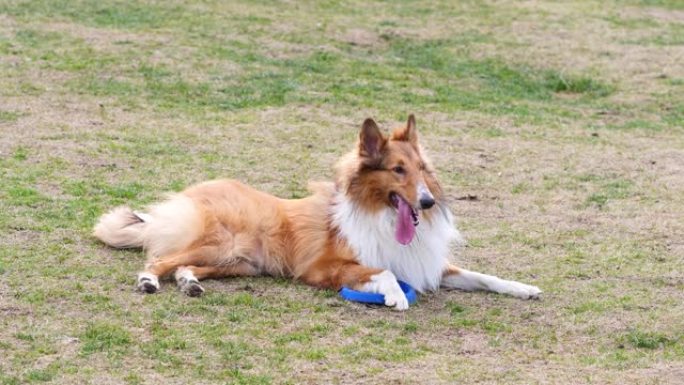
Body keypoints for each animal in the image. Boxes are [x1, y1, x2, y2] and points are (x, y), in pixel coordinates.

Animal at [93, 115, 540, 308]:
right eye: (397, 170)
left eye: (421, 169)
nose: (427, 202)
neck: (376, 213)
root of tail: (190, 194)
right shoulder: (327, 268)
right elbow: (385, 271)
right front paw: (396, 296)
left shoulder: (428, 263)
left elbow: (483, 276)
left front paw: (524, 288)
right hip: (219, 244)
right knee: (160, 258)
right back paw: (149, 281)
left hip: (238, 262)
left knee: (184, 267)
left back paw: (190, 284)